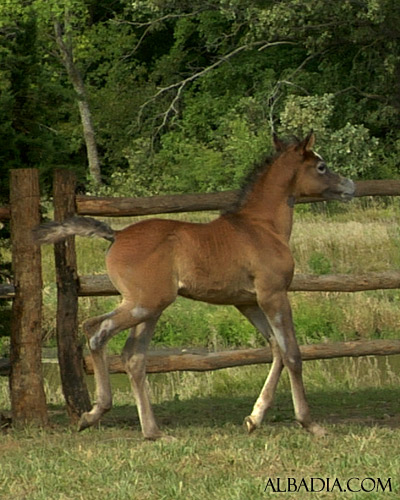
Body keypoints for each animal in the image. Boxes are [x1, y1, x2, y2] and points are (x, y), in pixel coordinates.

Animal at [34, 132, 354, 438]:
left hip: (148, 307)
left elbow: (275, 348)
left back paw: (151, 432)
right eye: (322, 166)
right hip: (146, 304)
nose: (349, 186)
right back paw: (95, 414)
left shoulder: (247, 302)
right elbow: (293, 354)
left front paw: (254, 419)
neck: (262, 227)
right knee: (96, 330)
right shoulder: (273, 295)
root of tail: (117, 234)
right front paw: (310, 424)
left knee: (132, 357)